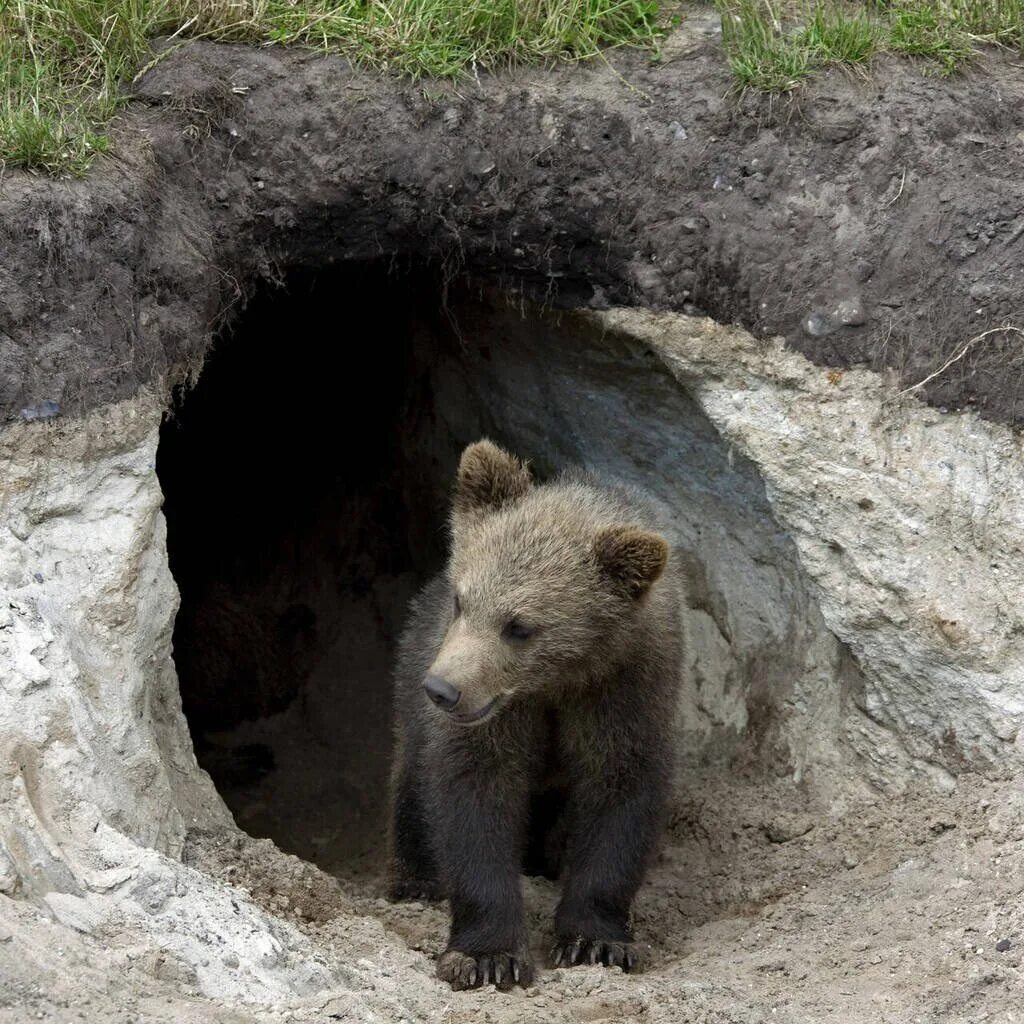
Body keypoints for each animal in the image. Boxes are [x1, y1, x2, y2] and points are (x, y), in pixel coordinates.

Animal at [387, 440, 684, 991]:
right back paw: (415, 882)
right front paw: (487, 955)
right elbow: (474, 800)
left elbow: (620, 796)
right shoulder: (497, 717)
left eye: (520, 627)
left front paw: (597, 941)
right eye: (462, 599)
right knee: (412, 779)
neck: (555, 681)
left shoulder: (625, 692)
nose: (443, 690)